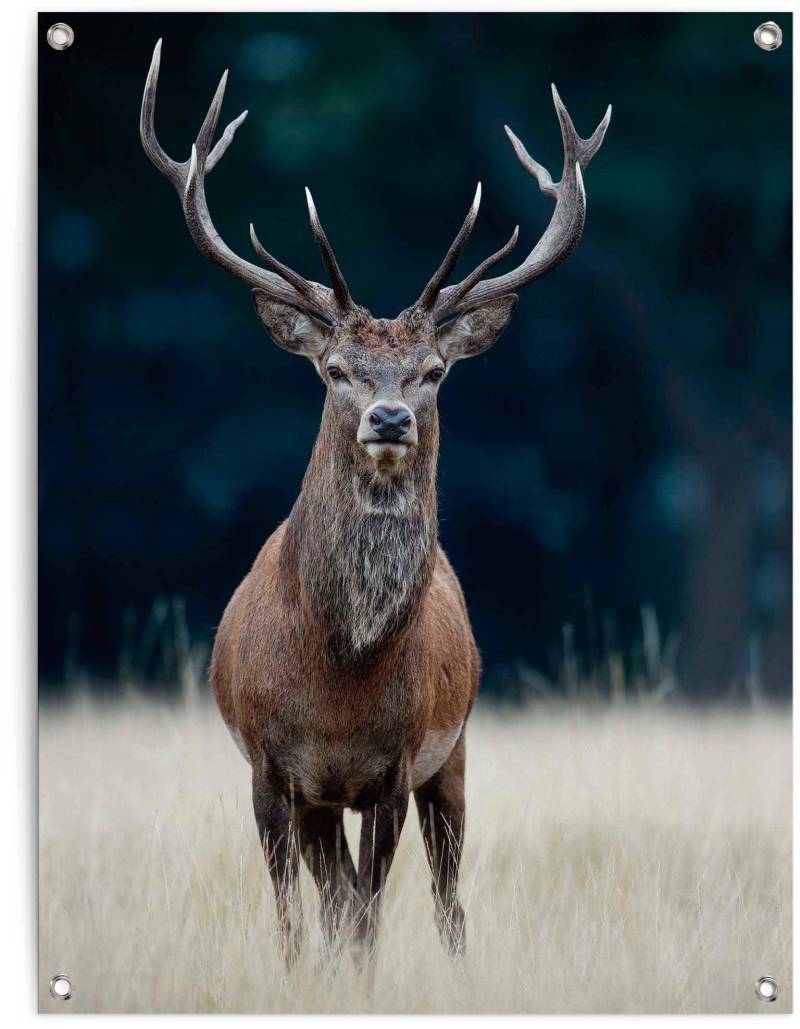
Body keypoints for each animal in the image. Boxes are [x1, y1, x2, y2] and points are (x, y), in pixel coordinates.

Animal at [141, 38, 610, 964]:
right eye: (334, 369)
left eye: (433, 371)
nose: (389, 416)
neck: (339, 676)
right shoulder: (272, 770)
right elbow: (299, 917)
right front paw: (299, 975)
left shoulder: (395, 767)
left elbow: (366, 917)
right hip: (330, 798)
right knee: (333, 895)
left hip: (455, 754)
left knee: (447, 898)